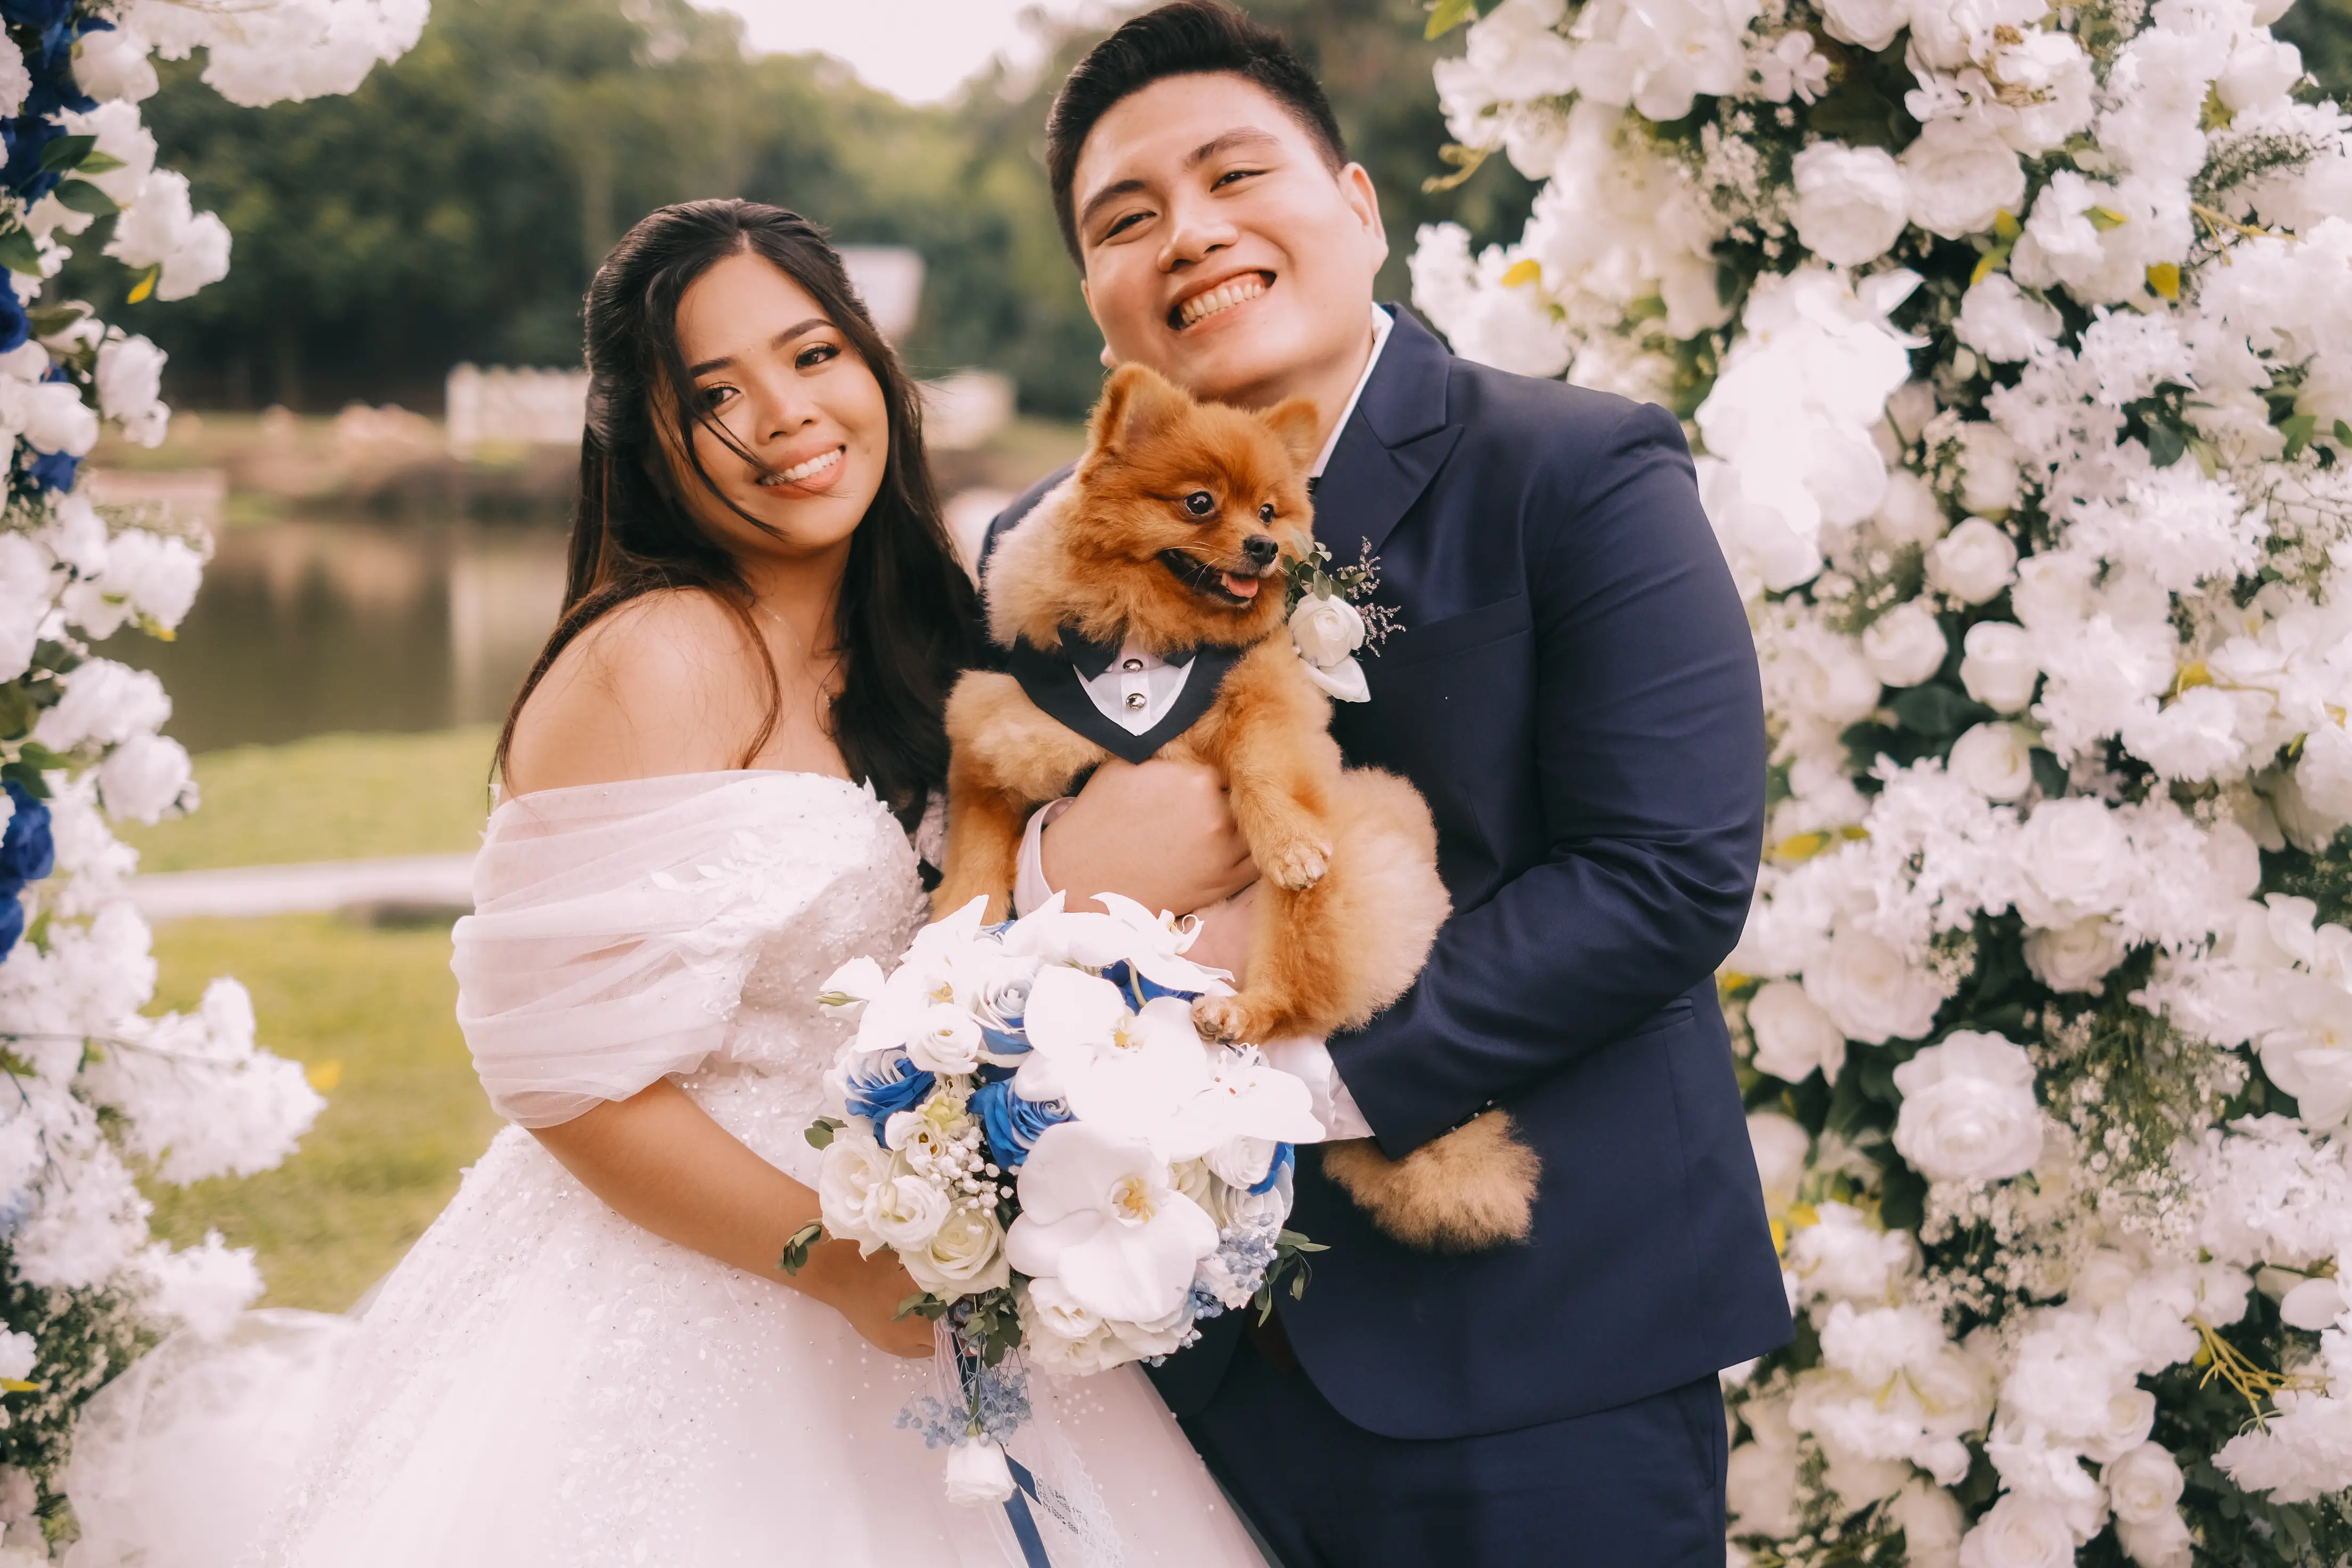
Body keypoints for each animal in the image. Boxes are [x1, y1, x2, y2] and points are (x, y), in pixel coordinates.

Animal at [936, 362, 1542, 1260]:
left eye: (1268, 511)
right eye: (1200, 503)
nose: (1265, 547)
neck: (1144, 645)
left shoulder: (1263, 695)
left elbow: (1261, 769)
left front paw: (1286, 841)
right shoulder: (998, 720)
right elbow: (980, 831)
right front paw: (957, 909)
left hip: (1330, 892)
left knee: (1296, 999)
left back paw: (1236, 1009)